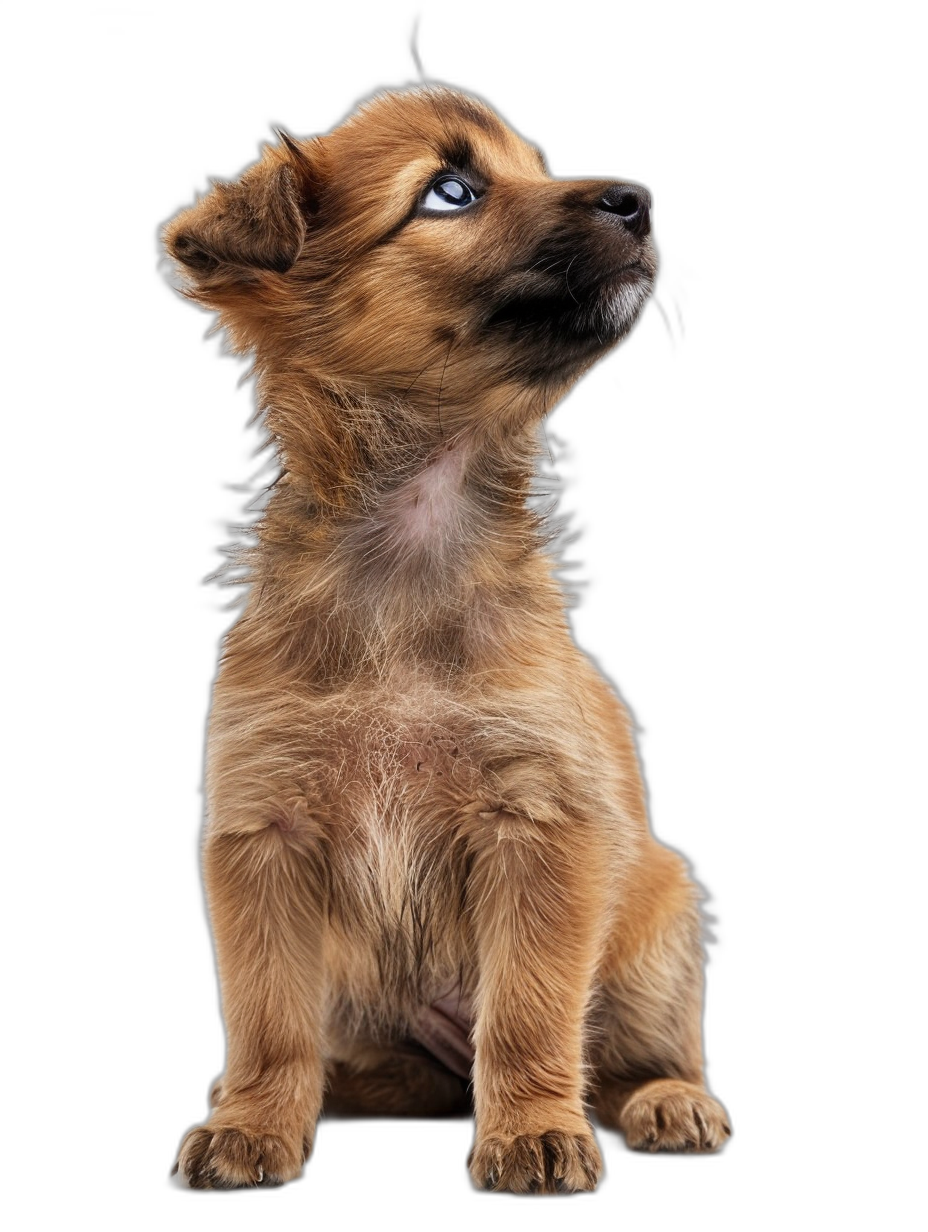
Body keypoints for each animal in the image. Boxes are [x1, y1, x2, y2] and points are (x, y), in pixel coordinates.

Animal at [165, 84, 729, 1192]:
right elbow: (266, 1019)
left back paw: (667, 1101)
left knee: (626, 1057)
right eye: (450, 190)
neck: (411, 543)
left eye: (537, 165)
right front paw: (251, 1122)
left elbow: (527, 1014)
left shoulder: (539, 825)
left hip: (657, 928)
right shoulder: (263, 835)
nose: (640, 199)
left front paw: (533, 1132)